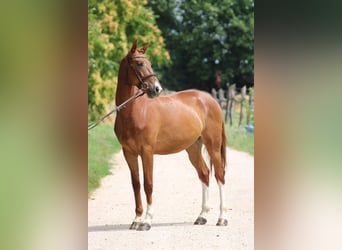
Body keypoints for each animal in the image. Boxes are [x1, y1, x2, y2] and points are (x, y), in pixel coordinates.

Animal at [113, 40, 228, 230]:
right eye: (139, 63)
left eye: (150, 63)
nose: (156, 89)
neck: (135, 112)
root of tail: (211, 100)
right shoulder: (128, 153)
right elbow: (136, 184)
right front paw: (137, 219)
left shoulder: (147, 152)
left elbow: (148, 184)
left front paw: (147, 221)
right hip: (193, 148)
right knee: (204, 173)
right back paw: (202, 216)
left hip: (213, 145)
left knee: (219, 175)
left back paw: (222, 218)